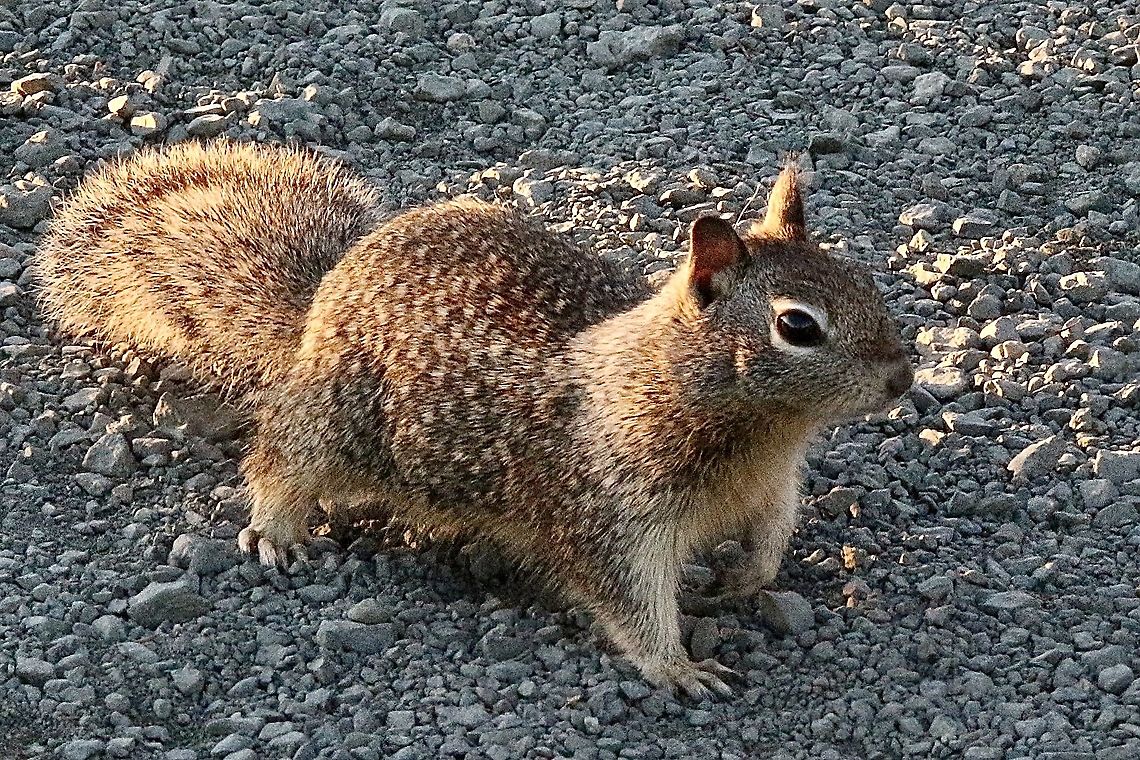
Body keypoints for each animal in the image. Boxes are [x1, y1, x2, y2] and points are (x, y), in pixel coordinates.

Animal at [34, 141, 913, 699]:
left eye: (864, 281)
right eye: (797, 326)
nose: (904, 378)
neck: (758, 432)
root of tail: (320, 303)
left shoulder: (773, 485)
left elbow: (769, 539)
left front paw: (744, 577)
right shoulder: (607, 511)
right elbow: (629, 600)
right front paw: (676, 668)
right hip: (330, 418)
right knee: (277, 462)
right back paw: (278, 531)